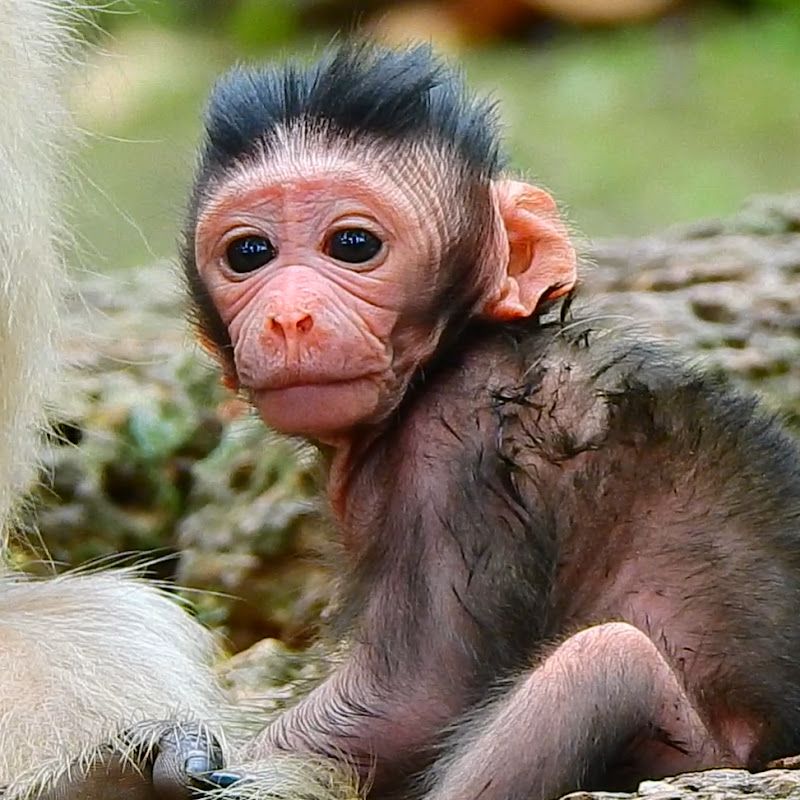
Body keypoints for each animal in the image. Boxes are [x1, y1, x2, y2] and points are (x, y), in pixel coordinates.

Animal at [183, 42, 800, 800]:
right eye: (249, 254)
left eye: (353, 244)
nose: (288, 316)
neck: (451, 354)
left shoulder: (454, 447)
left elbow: (413, 697)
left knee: (602, 664)